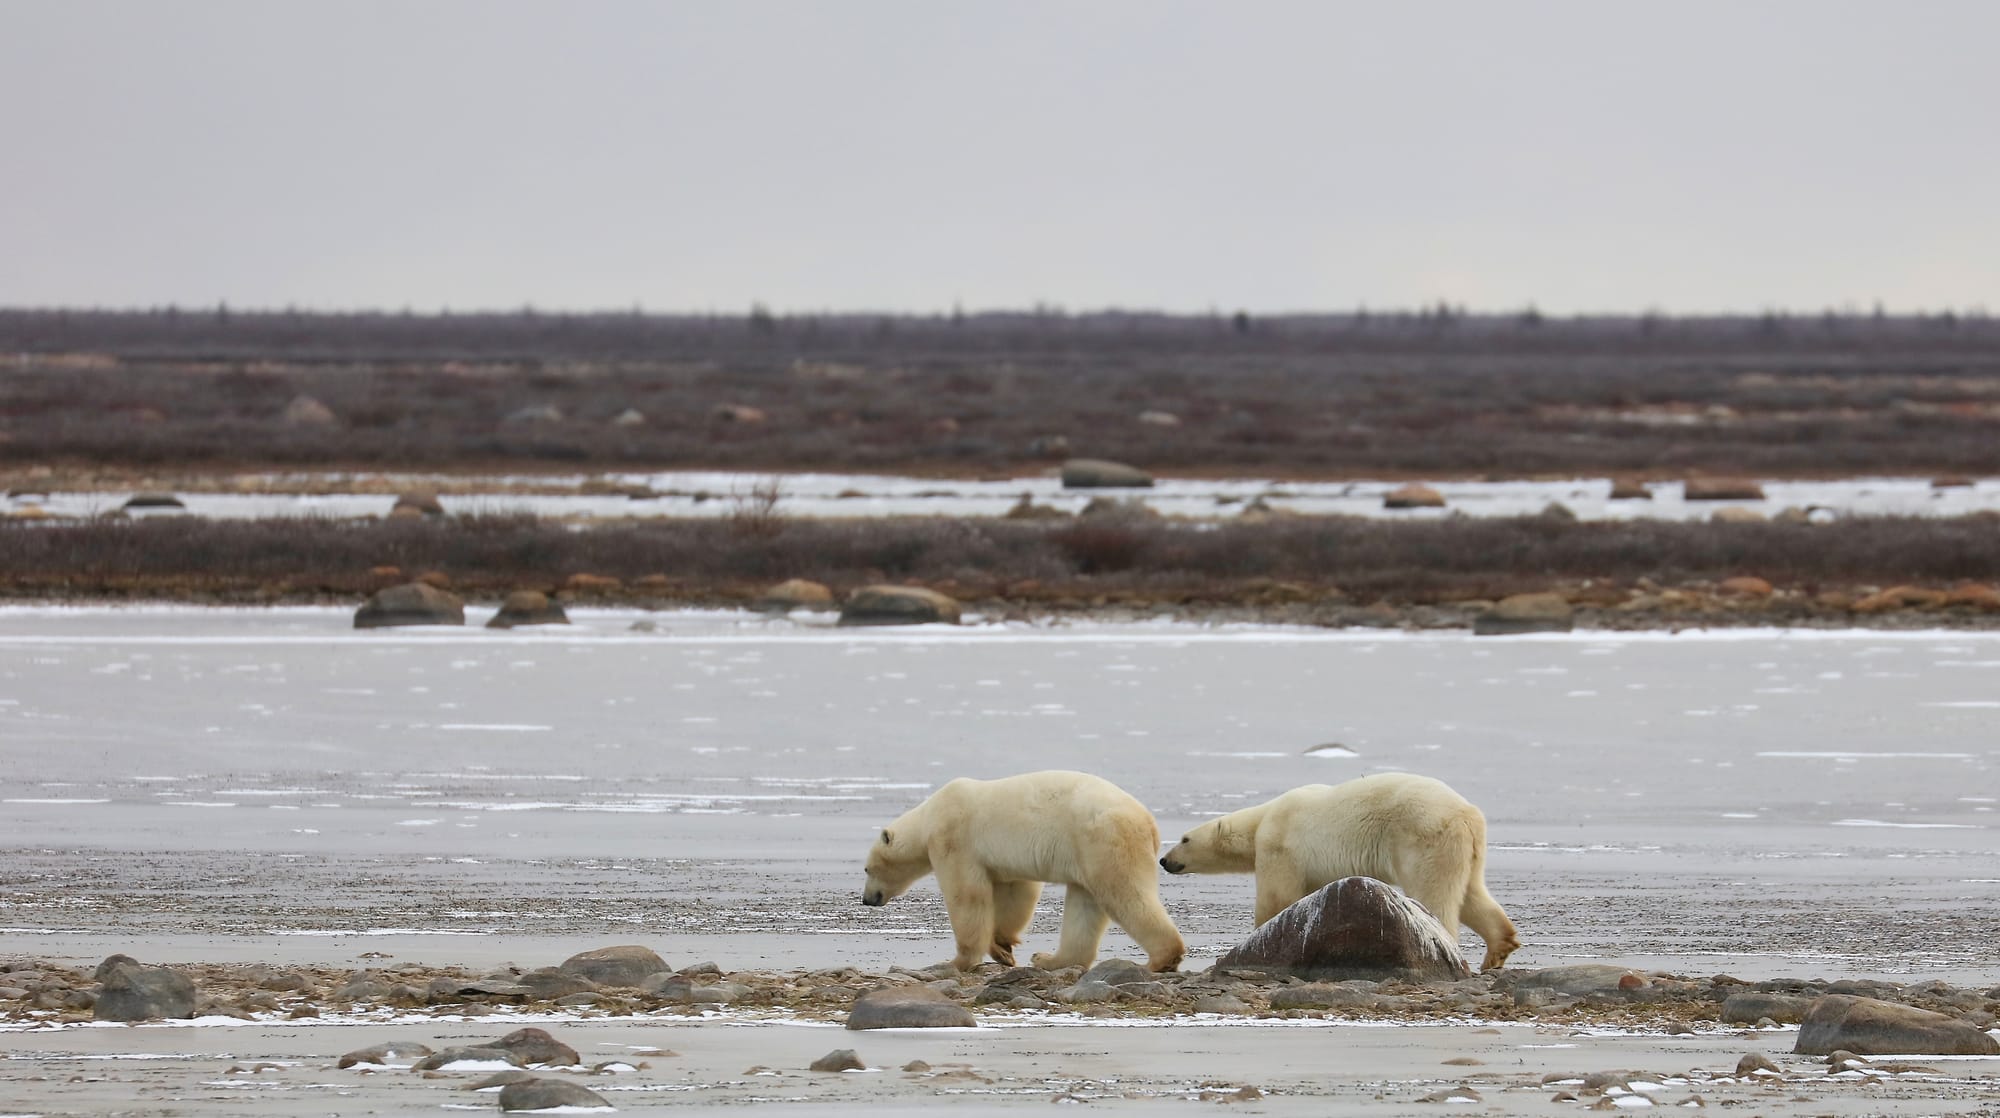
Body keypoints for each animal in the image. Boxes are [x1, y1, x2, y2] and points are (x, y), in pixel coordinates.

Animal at [864, 776, 1184, 976]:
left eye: (867, 869)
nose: (867, 899)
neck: (929, 815)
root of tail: (1148, 821)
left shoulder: (954, 840)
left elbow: (967, 894)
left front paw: (959, 960)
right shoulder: (1004, 859)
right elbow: (1015, 893)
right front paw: (1002, 948)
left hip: (1104, 840)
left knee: (1125, 894)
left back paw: (1162, 958)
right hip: (1085, 851)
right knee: (1085, 906)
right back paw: (1050, 960)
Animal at [1160, 776, 1512, 976]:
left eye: (1185, 839)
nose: (1165, 860)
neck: (1263, 818)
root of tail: (1466, 814)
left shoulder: (1280, 846)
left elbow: (1277, 898)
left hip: (1424, 836)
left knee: (1434, 891)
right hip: (1468, 848)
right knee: (1471, 893)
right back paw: (1497, 949)